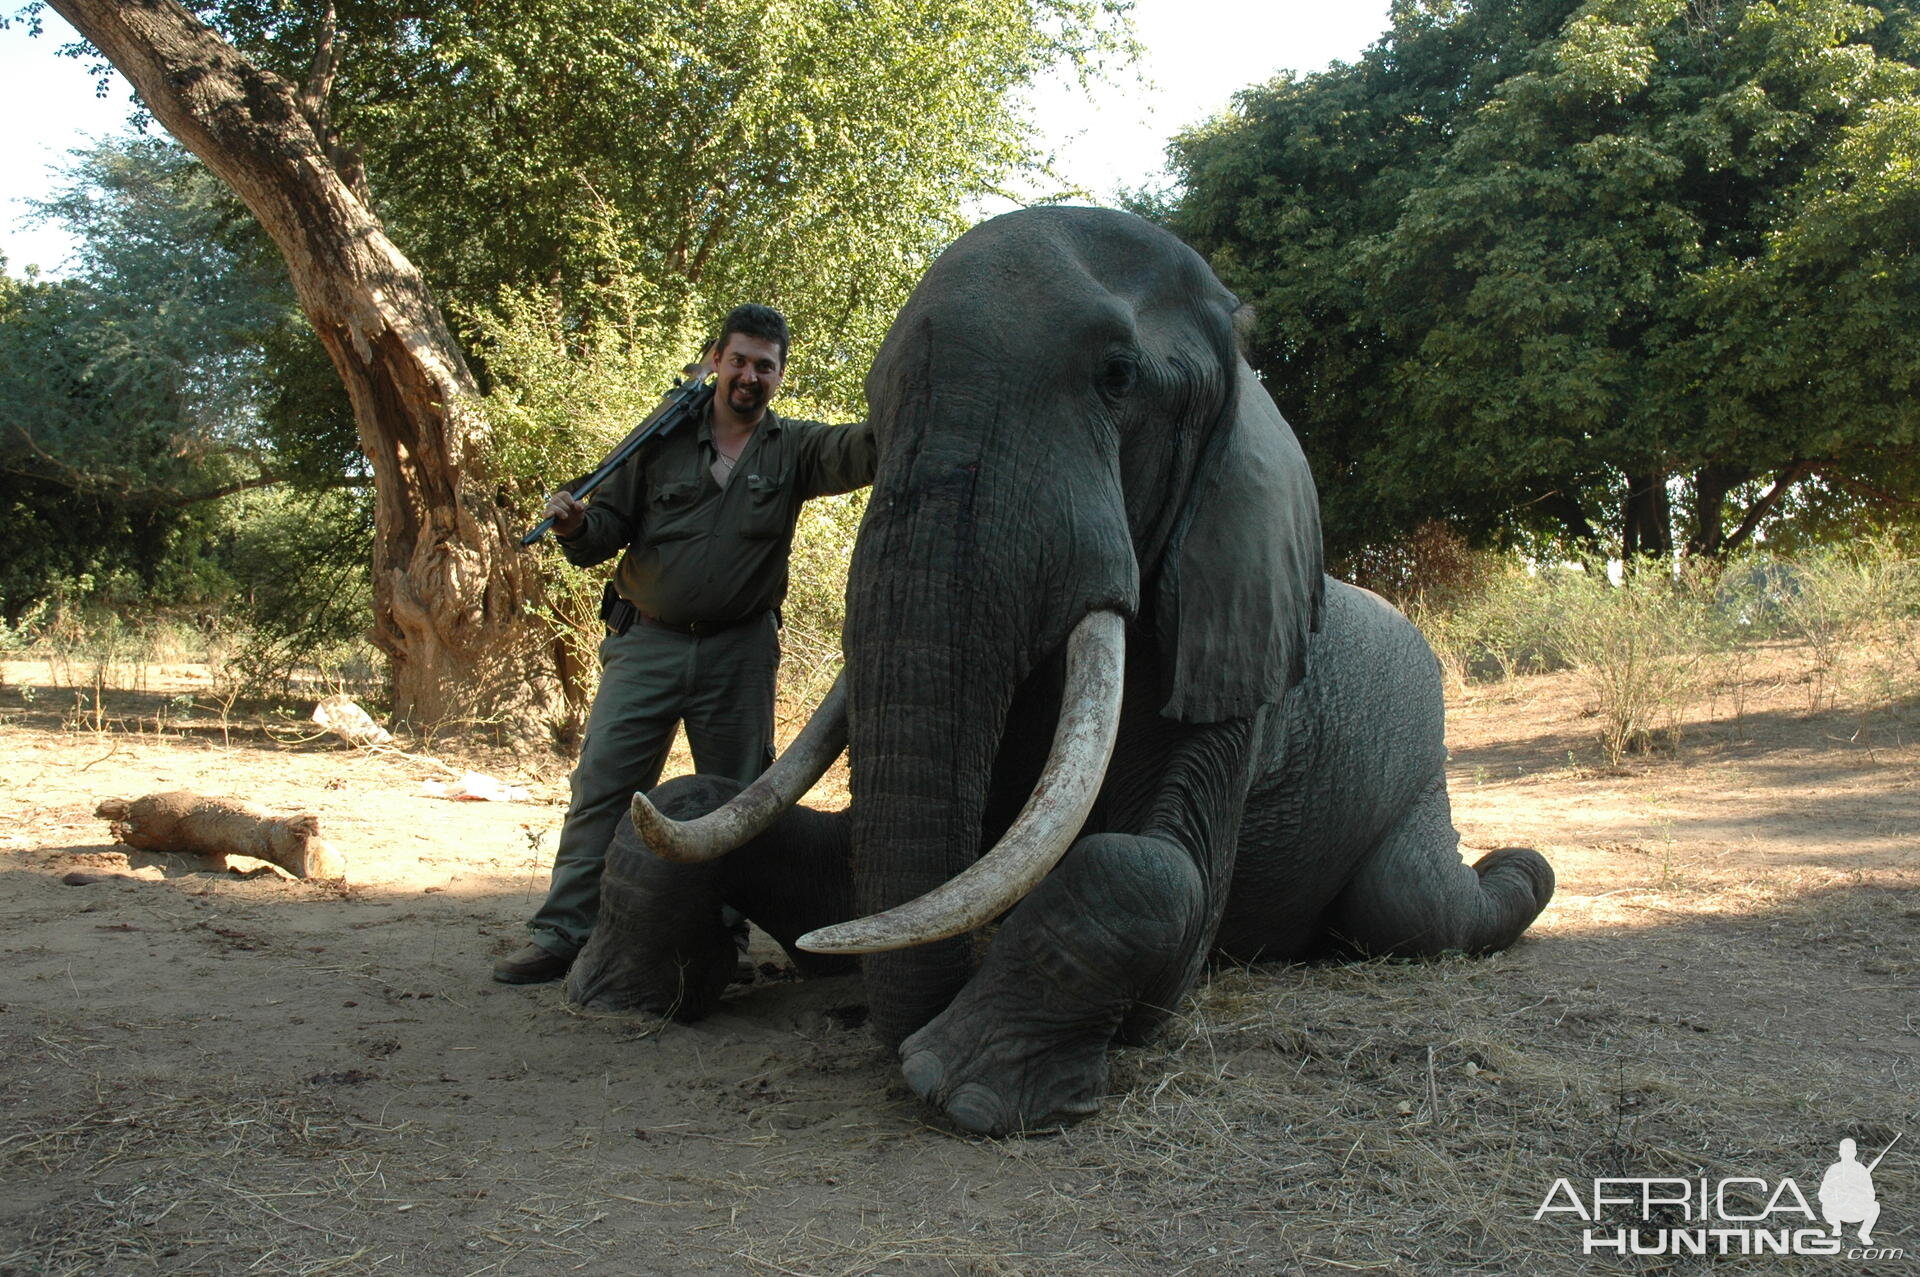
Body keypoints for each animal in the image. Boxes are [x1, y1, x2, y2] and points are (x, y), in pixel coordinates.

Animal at [560, 206, 1551, 1136]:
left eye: (1118, 379)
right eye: (873, 414)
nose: (882, 1027)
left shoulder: (1238, 634)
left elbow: (1158, 878)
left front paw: (959, 1085)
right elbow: (814, 861)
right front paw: (611, 998)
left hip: (1417, 775)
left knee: (1414, 909)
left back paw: (1521, 868)